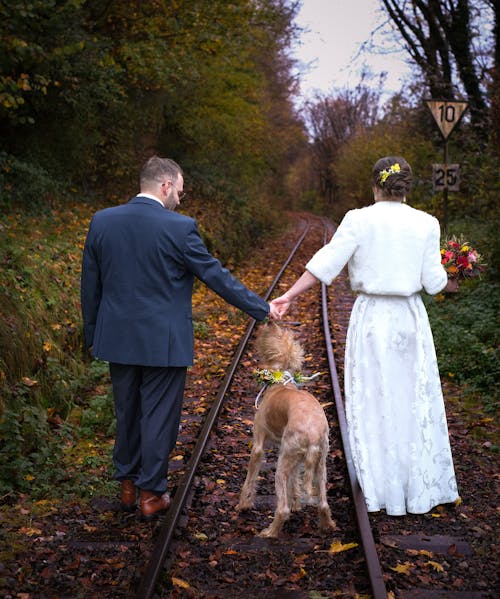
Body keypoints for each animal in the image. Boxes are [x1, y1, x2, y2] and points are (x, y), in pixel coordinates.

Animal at [237, 324, 336, 540]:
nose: (270, 322)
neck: (280, 381)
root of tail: (313, 434)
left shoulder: (258, 446)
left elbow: (249, 480)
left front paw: (243, 505)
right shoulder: (297, 460)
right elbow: (295, 482)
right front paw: (297, 503)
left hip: (282, 464)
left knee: (282, 510)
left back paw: (270, 532)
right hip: (319, 465)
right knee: (324, 503)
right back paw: (327, 526)